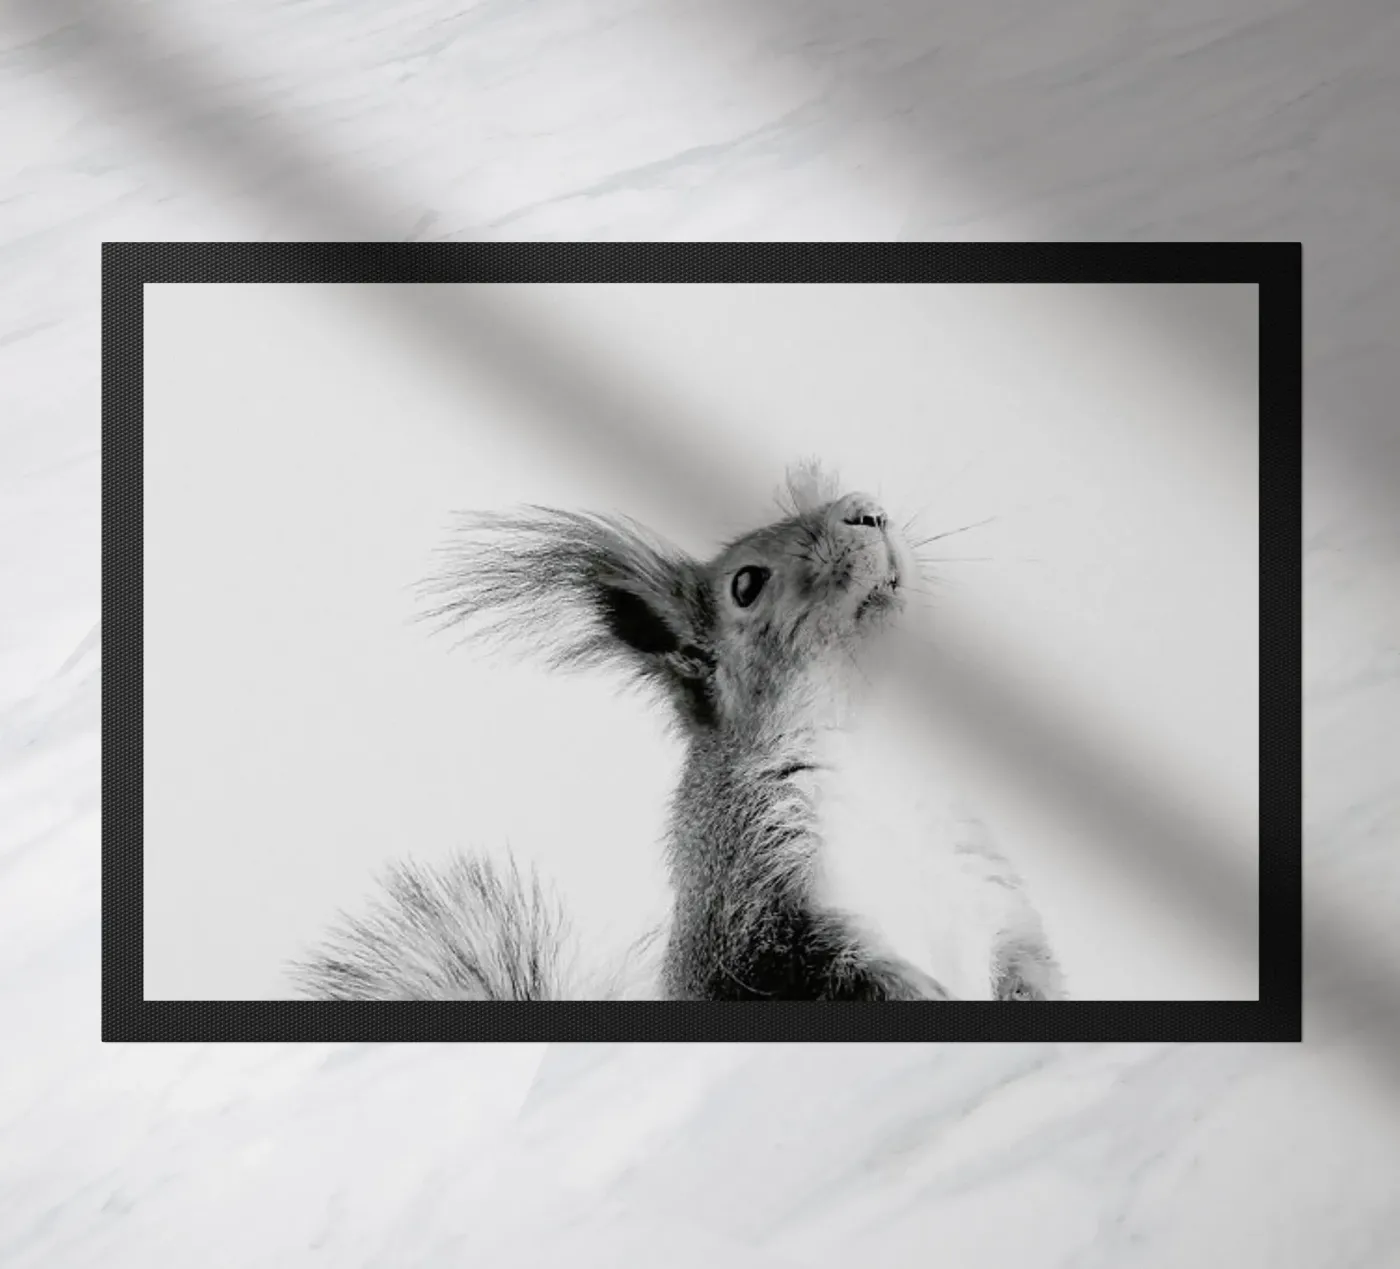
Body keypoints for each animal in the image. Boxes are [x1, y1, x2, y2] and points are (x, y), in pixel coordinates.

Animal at [290, 462, 1064, 1002]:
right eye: (746, 584)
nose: (866, 512)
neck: (866, 733)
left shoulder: (981, 873)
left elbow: (1026, 952)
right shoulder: (758, 895)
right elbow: (834, 970)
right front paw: (915, 989)